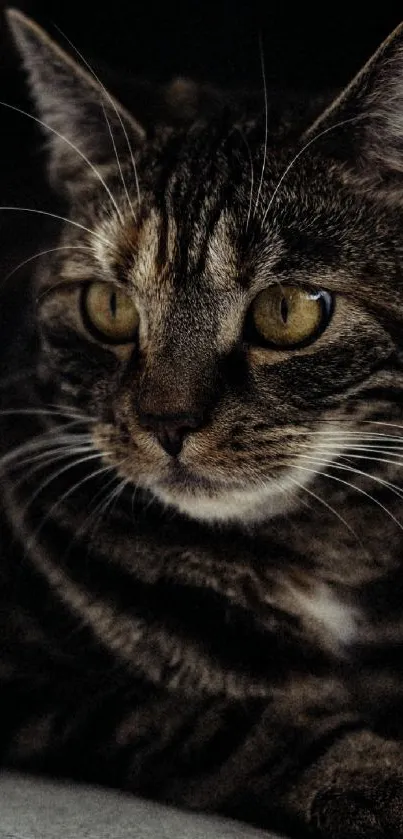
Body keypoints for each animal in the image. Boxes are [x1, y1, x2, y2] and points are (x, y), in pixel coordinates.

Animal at [2, 8, 403, 839]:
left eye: (288, 312)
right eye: (108, 306)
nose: (168, 421)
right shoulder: (54, 690)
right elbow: (226, 719)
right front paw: (375, 778)